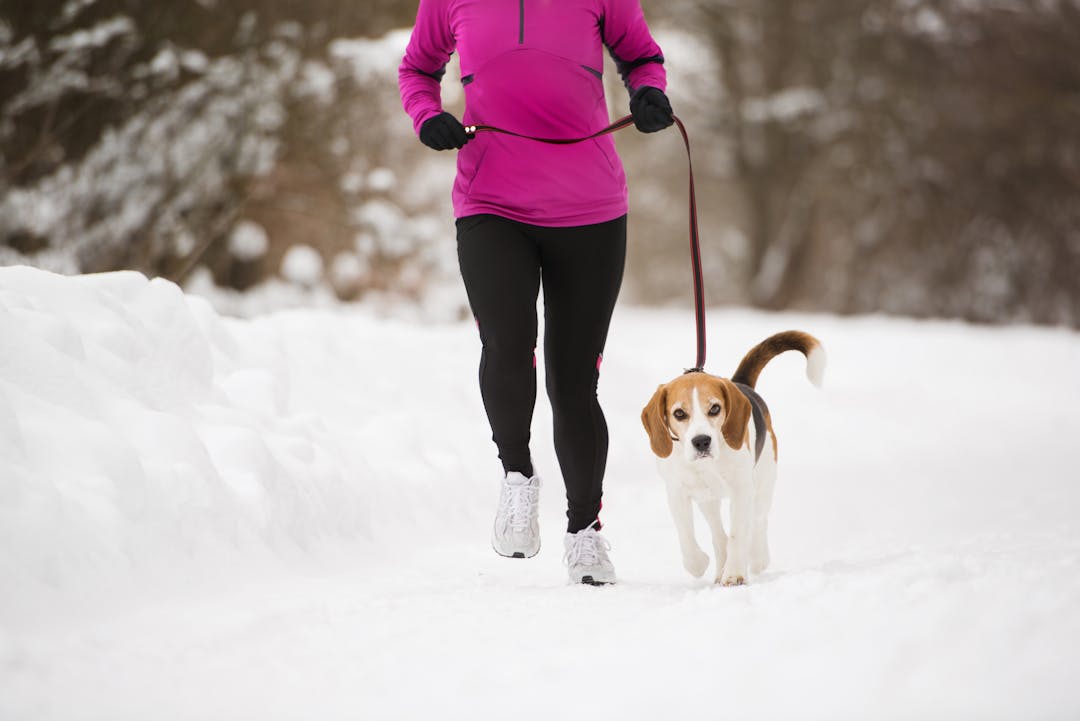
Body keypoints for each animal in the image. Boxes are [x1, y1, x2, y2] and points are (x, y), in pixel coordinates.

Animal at [639, 332, 825, 587]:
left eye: (715, 409)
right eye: (679, 413)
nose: (701, 442)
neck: (708, 465)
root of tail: (742, 384)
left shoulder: (741, 490)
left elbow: (737, 534)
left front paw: (735, 573)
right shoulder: (676, 492)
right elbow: (686, 536)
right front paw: (699, 564)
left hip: (764, 481)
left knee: (758, 521)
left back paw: (757, 558)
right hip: (708, 500)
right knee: (719, 534)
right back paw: (721, 567)